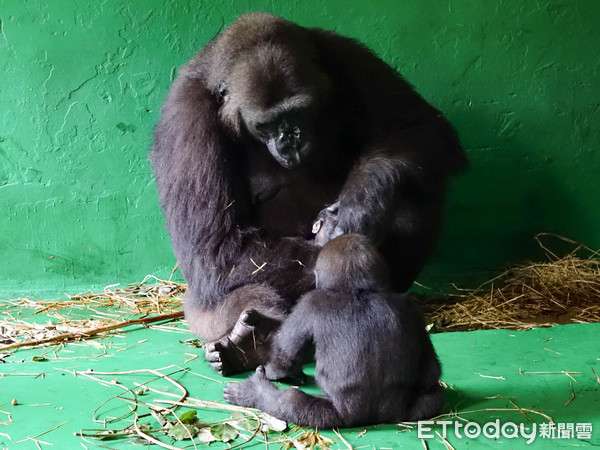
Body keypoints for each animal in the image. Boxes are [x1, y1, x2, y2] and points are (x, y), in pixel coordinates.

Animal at [150, 12, 464, 374]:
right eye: (266, 125)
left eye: (297, 112)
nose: (291, 139)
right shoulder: (186, 114)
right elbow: (215, 251)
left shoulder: (348, 55)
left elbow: (420, 127)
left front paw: (362, 204)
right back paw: (253, 343)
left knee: (413, 190)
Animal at [223, 234, 442, 428]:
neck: (359, 290)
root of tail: (374, 418)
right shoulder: (410, 307)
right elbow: (430, 369)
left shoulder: (309, 302)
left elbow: (285, 357)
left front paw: (280, 373)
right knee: (432, 397)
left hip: (339, 415)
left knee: (290, 401)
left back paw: (256, 391)